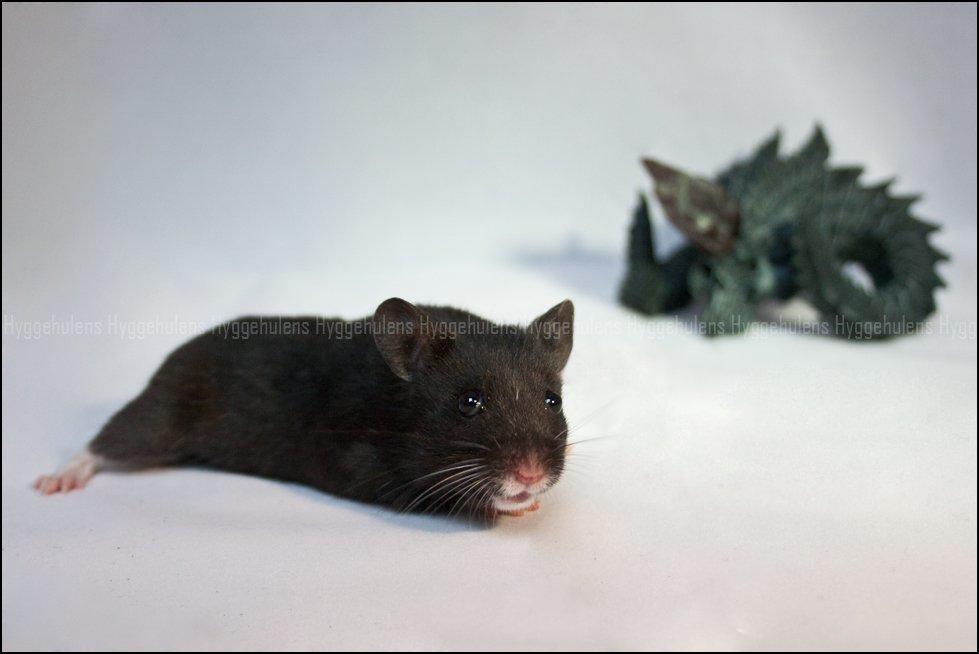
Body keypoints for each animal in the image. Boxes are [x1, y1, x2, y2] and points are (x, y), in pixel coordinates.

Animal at [34, 298, 574, 519]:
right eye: (469, 402)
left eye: (554, 401)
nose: (529, 476)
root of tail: (174, 354)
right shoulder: (366, 468)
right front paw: (514, 504)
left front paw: (531, 503)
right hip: (163, 412)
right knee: (108, 440)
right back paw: (56, 480)